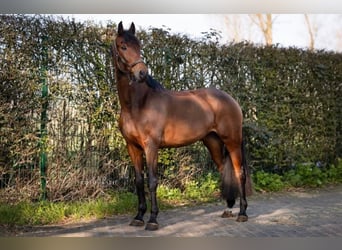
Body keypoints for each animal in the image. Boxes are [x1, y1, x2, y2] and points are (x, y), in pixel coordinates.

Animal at [111, 21, 251, 230]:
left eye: (139, 45)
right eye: (123, 46)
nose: (141, 73)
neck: (138, 104)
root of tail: (231, 99)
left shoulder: (151, 146)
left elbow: (152, 181)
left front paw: (152, 220)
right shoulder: (132, 147)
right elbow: (139, 181)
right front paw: (138, 216)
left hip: (232, 141)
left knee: (238, 173)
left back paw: (242, 213)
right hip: (213, 143)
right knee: (223, 171)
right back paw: (228, 209)